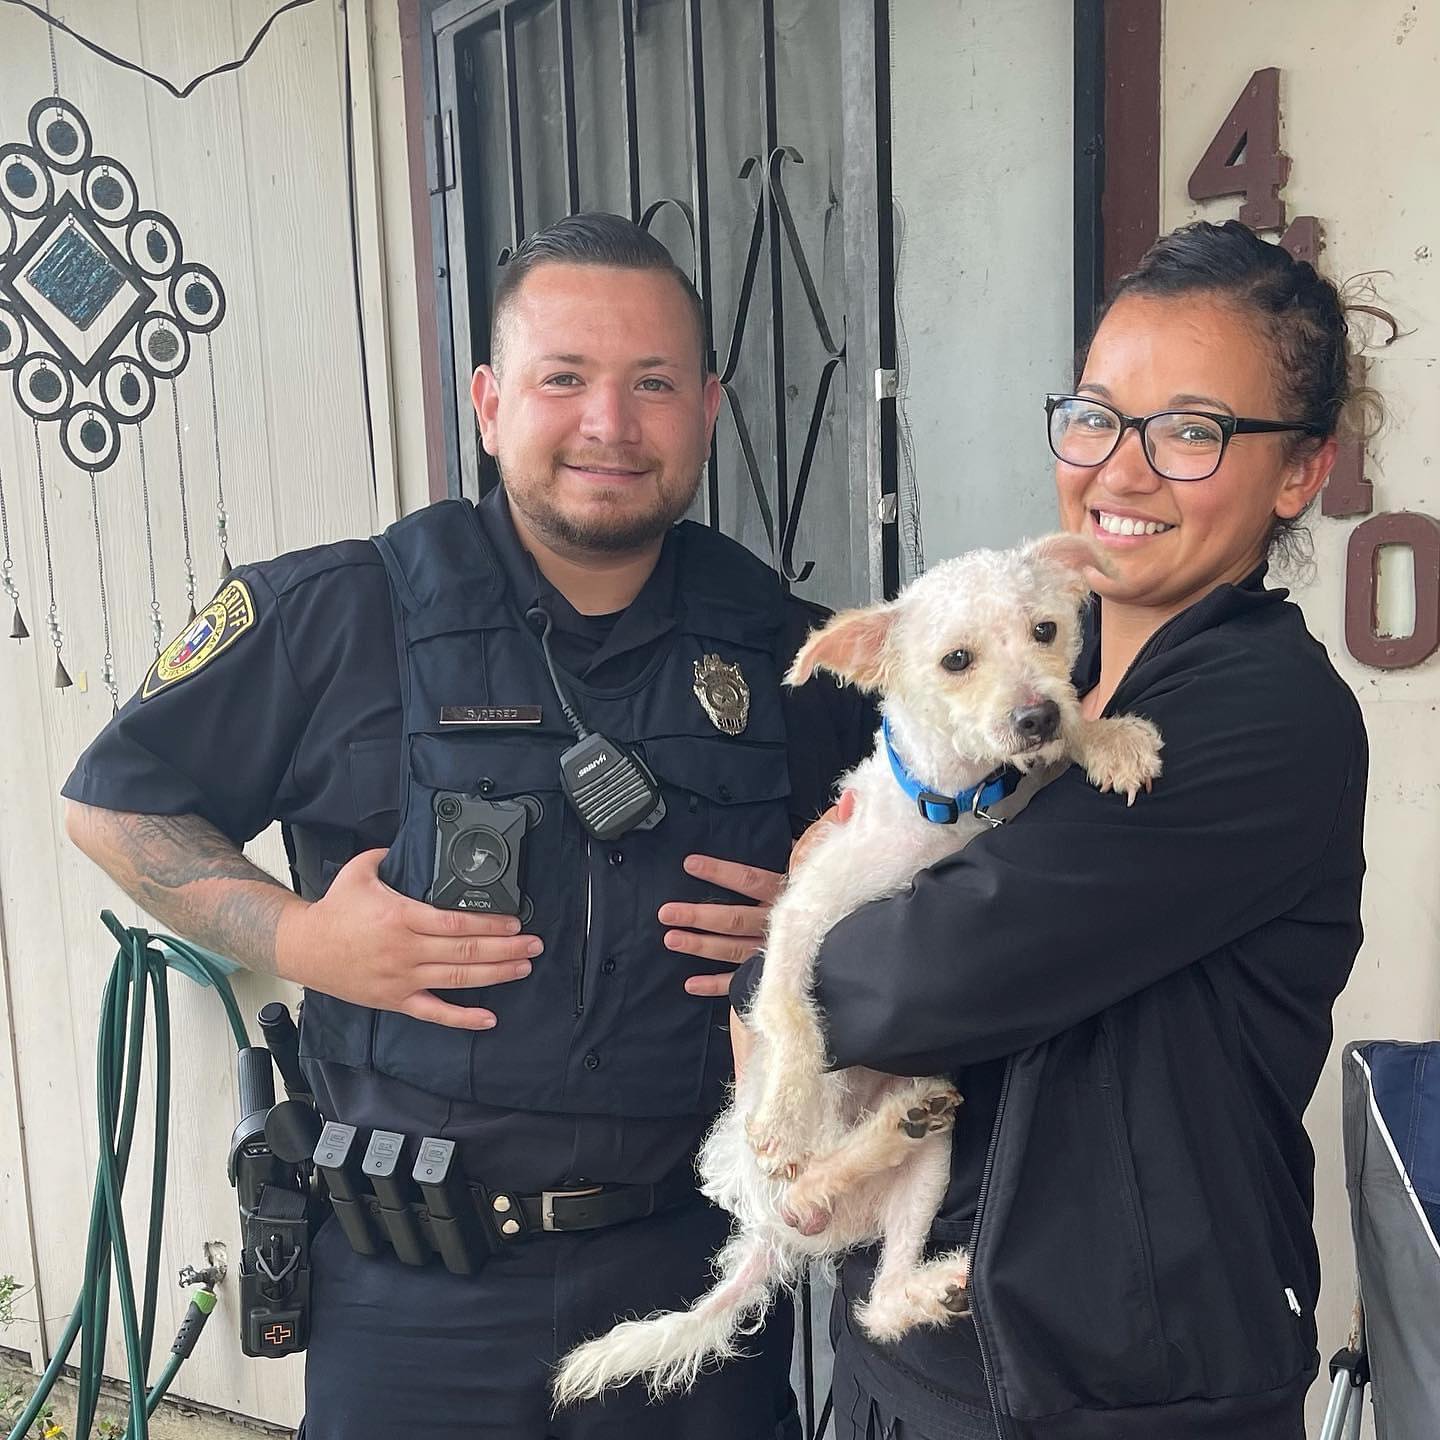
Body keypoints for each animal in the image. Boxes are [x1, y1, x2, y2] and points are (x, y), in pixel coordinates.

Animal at [544, 535, 1163, 1399]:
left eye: (1045, 631)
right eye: (956, 659)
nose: (1035, 715)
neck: (949, 806)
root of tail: (776, 1241)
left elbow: (1056, 756)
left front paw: (1107, 738)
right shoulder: (797, 920)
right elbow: (789, 1016)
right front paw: (785, 1109)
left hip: (929, 1170)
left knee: (882, 1298)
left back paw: (915, 1215)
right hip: (751, 1173)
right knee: (797, 1187)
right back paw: (812, 1144)